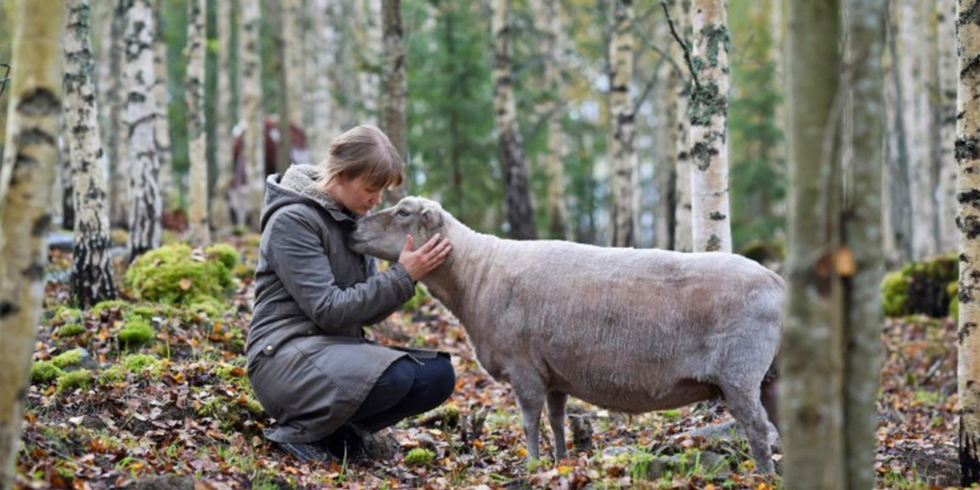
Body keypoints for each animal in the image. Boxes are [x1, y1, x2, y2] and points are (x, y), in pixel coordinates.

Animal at [349, 197, 783, 472]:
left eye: (403, 212)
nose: (353, 228)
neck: (476, 275)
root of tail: (775, 281)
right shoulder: (554, 372)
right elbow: (557, 419)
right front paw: (560, 462)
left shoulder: (523, 365)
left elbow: (529, 420)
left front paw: (531, 465)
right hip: (772, 376)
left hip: (740, 373)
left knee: (758, 429)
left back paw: (761, 476)